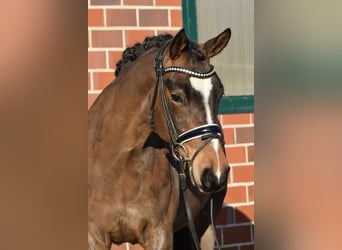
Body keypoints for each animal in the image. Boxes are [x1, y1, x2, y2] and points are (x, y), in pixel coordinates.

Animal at [88, 27, 232, 250]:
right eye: (176, 96)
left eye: (220, 94)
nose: (215, 171)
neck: (116, 165)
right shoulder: (95, 236)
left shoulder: (160, 235)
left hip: (205, 224)